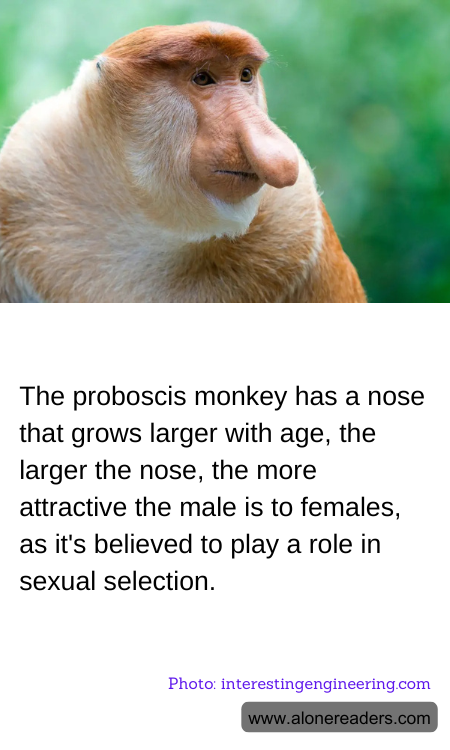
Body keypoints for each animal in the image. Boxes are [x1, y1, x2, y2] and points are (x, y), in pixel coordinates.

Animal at [0, 22, 366, 303]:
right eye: (202, 78)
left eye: (245, 74)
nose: (278, 153)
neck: (147, 217)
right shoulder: (23, 171)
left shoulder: (297, 215)